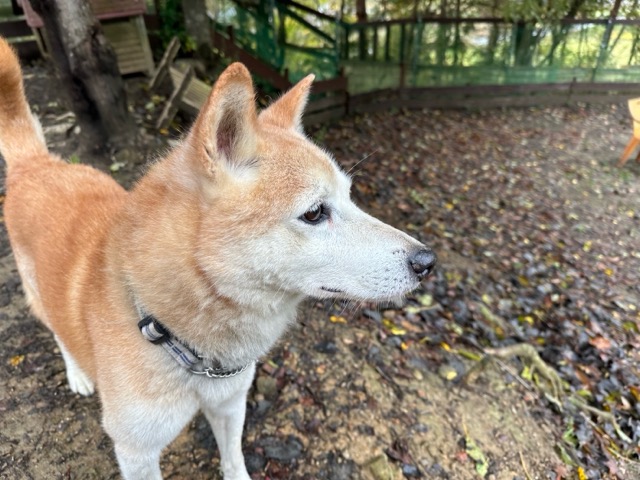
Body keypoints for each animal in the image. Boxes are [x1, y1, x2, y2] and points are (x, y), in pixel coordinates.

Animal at [0, 37, 435, 479]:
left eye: (349, 196)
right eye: (315, 212)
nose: (427, 261)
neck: (176, 334)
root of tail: (37, 163)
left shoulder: (229, 404)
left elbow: (234, 458)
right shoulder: (136, 451)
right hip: (39, 296)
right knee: (57, 331)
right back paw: (78, 374)